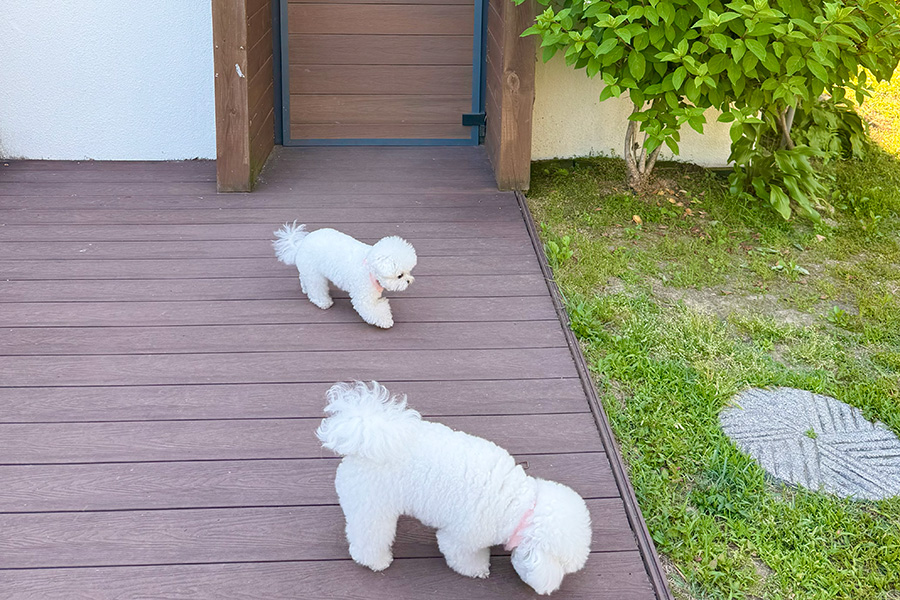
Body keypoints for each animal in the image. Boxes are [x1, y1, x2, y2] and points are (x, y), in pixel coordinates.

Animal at [273, 223, 416, 328]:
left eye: (409, 272)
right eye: (400, 275)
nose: (409, 281)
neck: (370, 267)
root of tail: (300, 244)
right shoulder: (363, 297)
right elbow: (373, 310)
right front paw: (386, 321)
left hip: (307, 270)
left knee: (304, 278)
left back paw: (304, 288)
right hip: (314, 274)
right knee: (316, 289)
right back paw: (323, 302)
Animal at [316, 381, 592, 595]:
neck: (521, 507)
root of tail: (362, 442)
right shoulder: (462, 536)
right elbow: (462, 556)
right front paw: (478, 570)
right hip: (372, 508)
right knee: (367, 537)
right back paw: (376, 561)